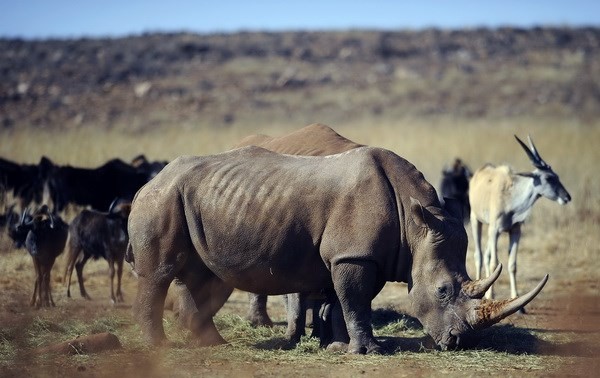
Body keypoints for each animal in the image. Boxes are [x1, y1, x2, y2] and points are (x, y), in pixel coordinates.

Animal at [468, 135, 572, 308]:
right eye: (549, 177)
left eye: (557, 176)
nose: (567, 197)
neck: (511, 198)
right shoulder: (495, 230)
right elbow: (494, 263)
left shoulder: (515, 230)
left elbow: (512, 264)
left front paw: (518, 302)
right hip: (477, 221)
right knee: (480, 256)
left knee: (487, 255)